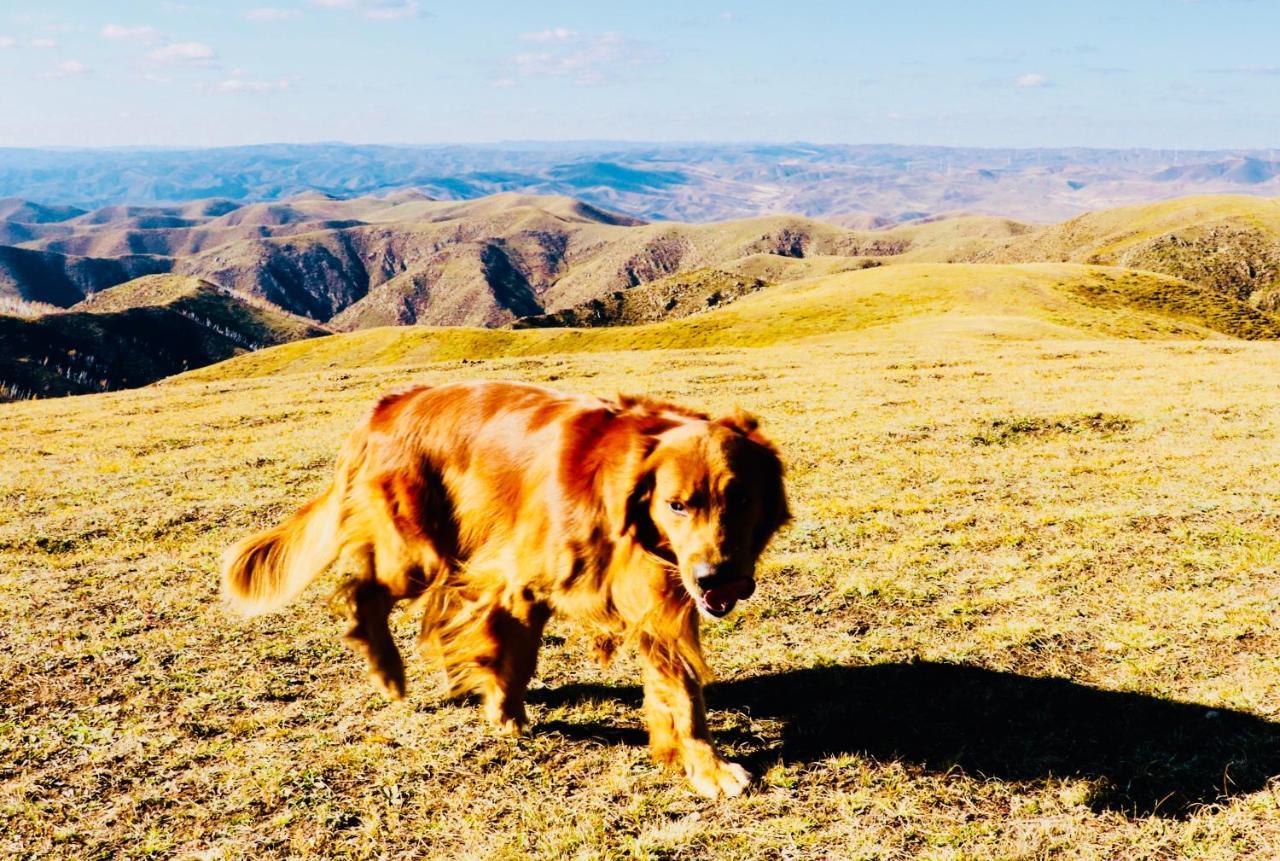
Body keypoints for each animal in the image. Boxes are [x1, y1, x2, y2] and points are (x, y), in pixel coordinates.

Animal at [225, 378, 793, 798]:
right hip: (414, 553)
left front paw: (704, 766)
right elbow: (516, 658)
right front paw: (507, 716)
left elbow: (682, 694)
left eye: (741, 499)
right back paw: (389, 674)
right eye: (677, 505)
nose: (716, 577)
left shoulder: (662, 601)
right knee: (364, 597)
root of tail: (389, 405)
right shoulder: (523, 582)